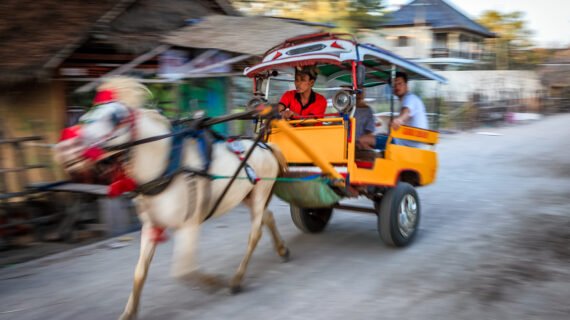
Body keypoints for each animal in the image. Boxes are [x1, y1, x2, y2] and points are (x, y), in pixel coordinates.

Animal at [54, 77, 288, 320]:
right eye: (85, 117)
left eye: (115, 118)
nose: (66, 148)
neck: (166, 166)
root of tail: (265, 145)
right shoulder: (151, 226)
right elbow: (139, 272)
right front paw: (129, 313)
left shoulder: (189, 225)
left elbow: (184, 271)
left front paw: (213, 282)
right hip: (247, 196)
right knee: (268, 217)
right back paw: (282, 250)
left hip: (260, 193)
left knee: (255, 233)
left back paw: (236, 279)